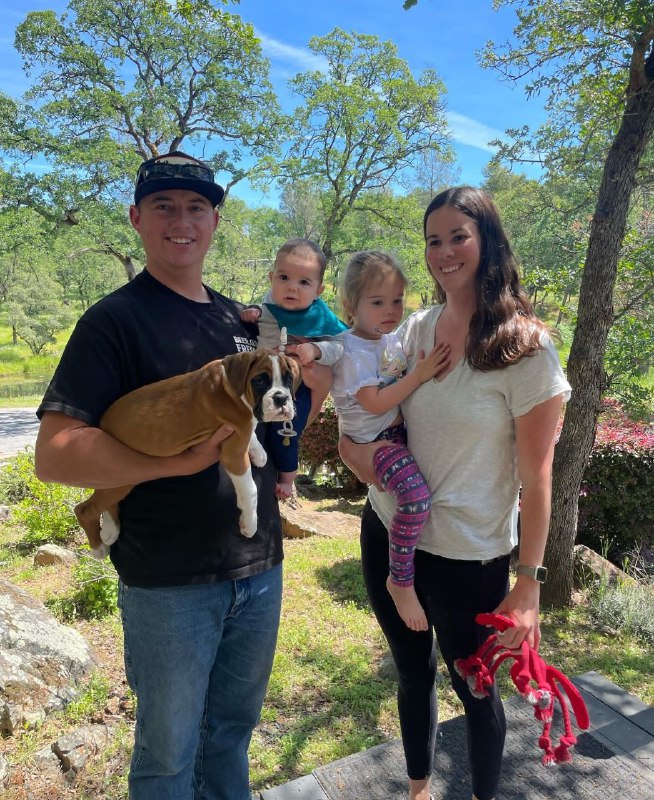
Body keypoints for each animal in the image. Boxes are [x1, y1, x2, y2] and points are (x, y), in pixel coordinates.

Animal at [74, 349, 301, 558]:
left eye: (289, 380)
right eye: (260, 381)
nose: (281, 398)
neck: (230, 386)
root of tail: (102, 425)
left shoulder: (241, 433)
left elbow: (251, 434)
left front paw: (258, 452)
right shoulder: (234, 454)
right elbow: (251, 489)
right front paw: (250, 523)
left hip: (122, 477)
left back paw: (110, 529)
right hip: (121, 473)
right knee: (84, 509)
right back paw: (98, 547)